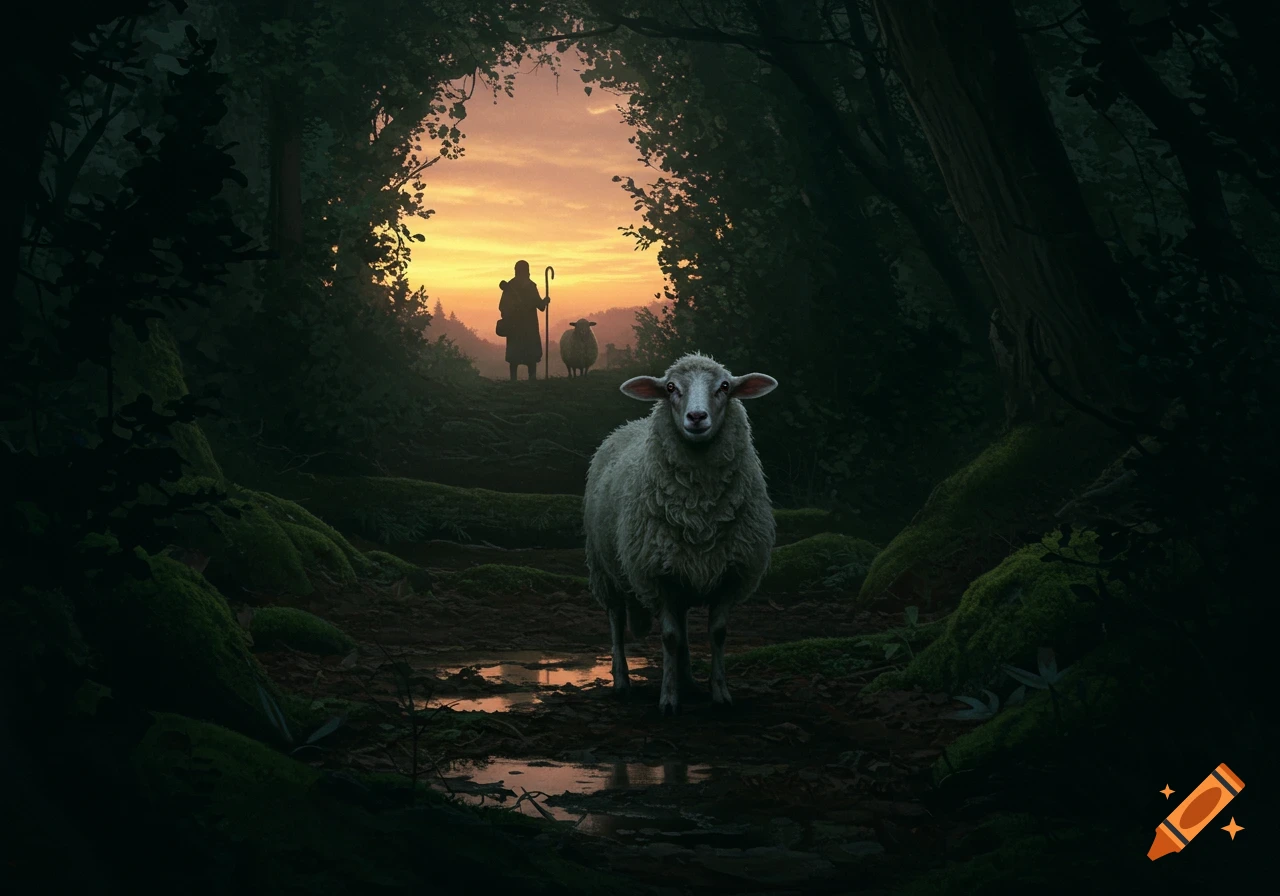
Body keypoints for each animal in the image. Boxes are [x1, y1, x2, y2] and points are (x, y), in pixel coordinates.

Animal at [583, 352, 779, 716]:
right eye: (671, 387)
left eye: (725, 386)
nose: (697, 417)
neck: (699, 507)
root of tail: (626, 425)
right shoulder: (656, 575)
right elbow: (670, 638)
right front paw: (668, 699)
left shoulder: (731, 572)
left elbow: (717, 633)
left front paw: (720, 694)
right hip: (604, 568)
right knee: (616, 620)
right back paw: (622, 681)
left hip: (682, 569)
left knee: (685, 625)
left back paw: (688, 680)